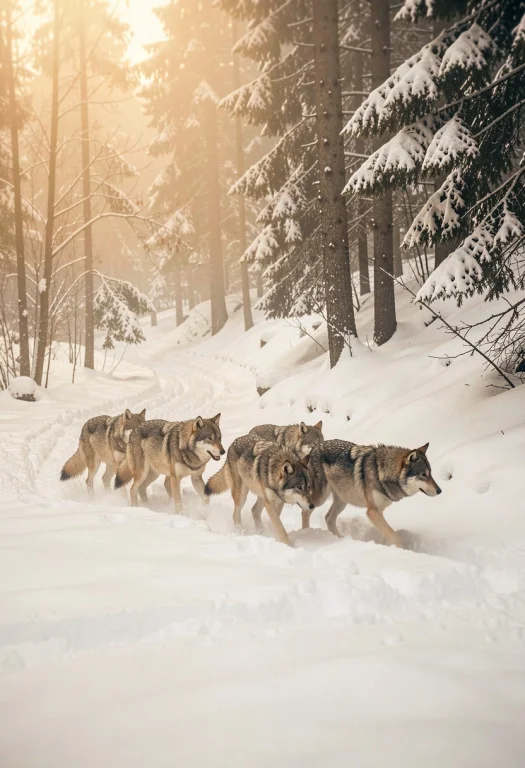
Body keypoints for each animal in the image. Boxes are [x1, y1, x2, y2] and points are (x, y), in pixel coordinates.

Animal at [303, 439, 441, 546]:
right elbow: (393, 535)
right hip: (321, 498)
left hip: (342, 501)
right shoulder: (372, 511)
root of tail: (315, 447)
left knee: (328, 518)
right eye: (423, 474)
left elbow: (386, 533)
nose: (439, 490)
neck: (381, 472)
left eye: (431, 473)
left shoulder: (379, 510)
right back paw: (305, 532)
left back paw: (340, 538)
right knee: (306, 511)